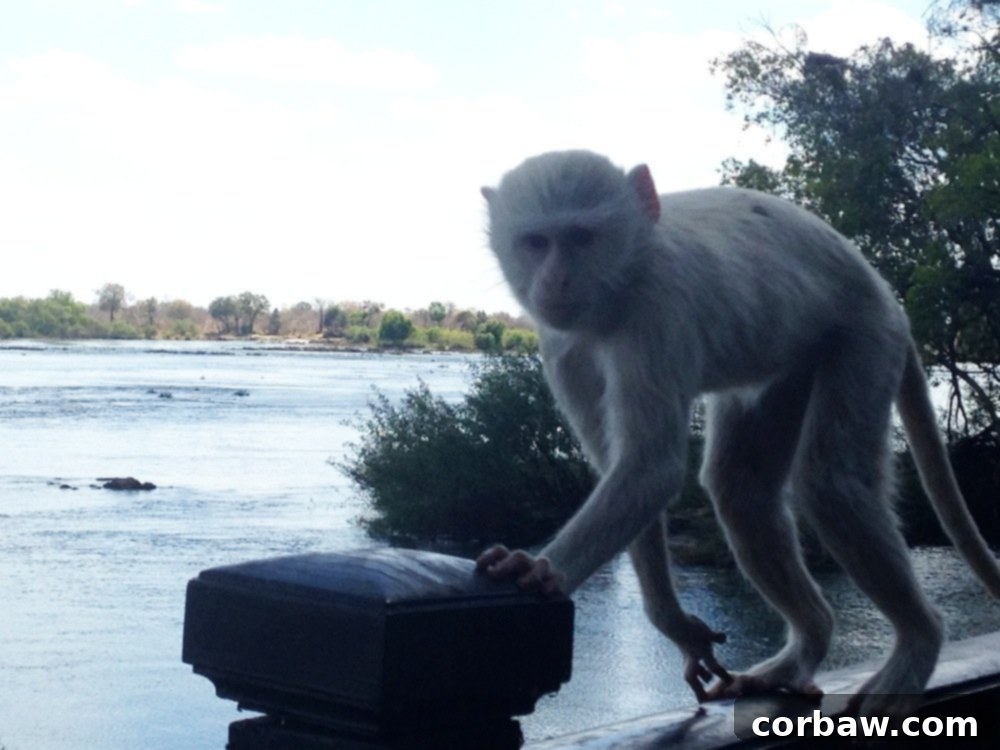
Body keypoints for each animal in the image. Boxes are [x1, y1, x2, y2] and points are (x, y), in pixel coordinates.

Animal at [475, 150, 1000, 716]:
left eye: (581, 237)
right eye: (536, 242)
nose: (554, 282)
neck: (626, 275)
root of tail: (886, 293)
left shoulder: (658, 312)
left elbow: (650, 468)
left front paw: (544, 570)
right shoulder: (561, 344)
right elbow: (622, 468)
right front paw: (675, 624)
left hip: (866, 336)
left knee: (832, 485)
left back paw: (919, 643)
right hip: (793, 361)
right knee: (741, 488)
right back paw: (806, 647)